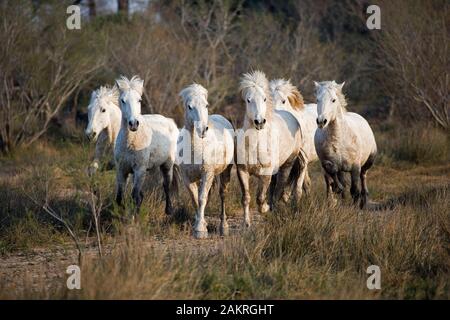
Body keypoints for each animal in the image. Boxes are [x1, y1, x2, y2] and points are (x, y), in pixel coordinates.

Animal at [114, 75, 179, 215]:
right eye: (122, 100)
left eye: (139, 100)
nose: (133, 124)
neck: (130, 144)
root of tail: (169, 121)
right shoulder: (122, 170)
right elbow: (120, 197)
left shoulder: (139, 169)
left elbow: (135, 196)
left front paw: (134, 217)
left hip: (167, 165)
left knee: (166, 185)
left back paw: (169, 210)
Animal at [176, 84, 234, 239]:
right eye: (189, 106)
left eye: (206, 105)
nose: (203, 130)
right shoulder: (187, 178)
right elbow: (195, 199)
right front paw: (200, 225)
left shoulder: (207, 173)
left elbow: (202, 198)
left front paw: (200, 230)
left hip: (225, 172)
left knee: (223, 194)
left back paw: (224, 227)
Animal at [234, 70, 304, 228]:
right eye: (248, 100)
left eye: (265, 99)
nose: (259, 122)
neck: (255, 144)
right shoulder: (242, 171)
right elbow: (246, 197)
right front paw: (246, 223)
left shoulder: (265, 172)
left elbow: (260, 198)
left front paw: (265, 208)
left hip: (287, 164)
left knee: (280, 187)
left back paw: (276, 210)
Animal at [314, 81, 378, 209]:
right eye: (317, 99)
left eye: (333, 100)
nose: (321, 121)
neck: (339, 140)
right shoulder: (328, 162)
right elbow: (333, 173)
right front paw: (337, 189)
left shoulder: (355, 167)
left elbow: (354, 190)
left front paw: (354, 207)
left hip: (368, 162)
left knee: (363, 176)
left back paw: (364, 201)